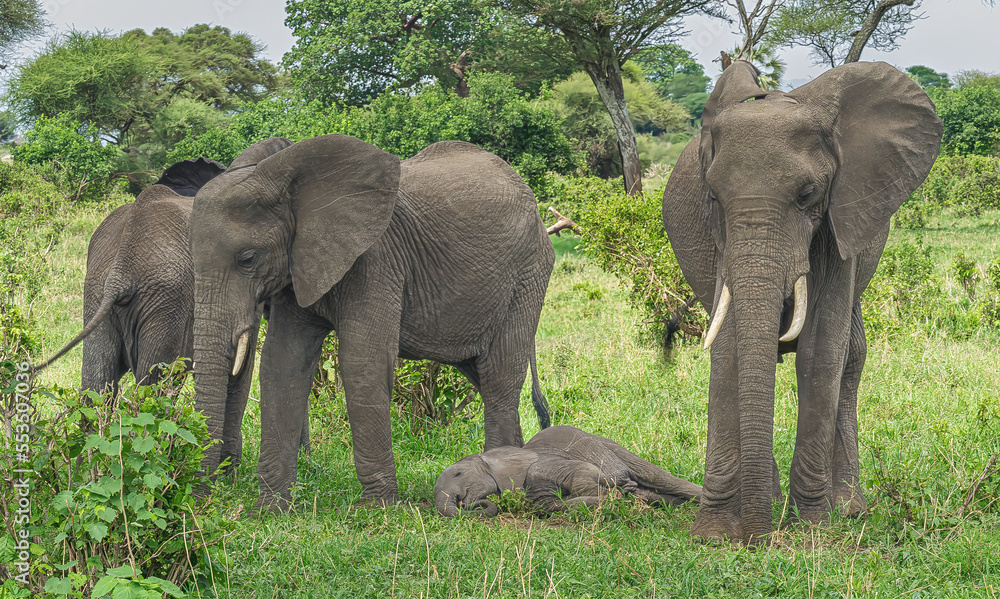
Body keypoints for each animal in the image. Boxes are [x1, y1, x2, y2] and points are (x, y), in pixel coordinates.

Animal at [188, 135, 556, 510]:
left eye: (247, 259)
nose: (203, 497)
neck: (286, 179)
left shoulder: (376, 259)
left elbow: (363, 362)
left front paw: (377, 506)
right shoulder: (298, 266)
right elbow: (282, 363)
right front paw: (270, 508)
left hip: (528, 274)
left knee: (498, 376)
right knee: (481, 373)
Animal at [436, 424, 704, 516]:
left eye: (459, 474)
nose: (464, 503)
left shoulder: (541, 465)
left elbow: (582, 472)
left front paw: (614, 494)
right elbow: (554, 506)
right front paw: (618, 497)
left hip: (612, 447)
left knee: (658, 476)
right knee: (652, 492)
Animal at [660, 59, 940, 544]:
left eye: (808, 194)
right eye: (711, 197)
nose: (757, 541)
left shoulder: (839, 222)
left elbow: (821, 351)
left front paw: (812, 532)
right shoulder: (719, 242)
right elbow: (728, 348)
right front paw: (715, 535)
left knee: (853, 356)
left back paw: (846, 508)